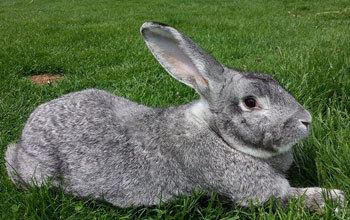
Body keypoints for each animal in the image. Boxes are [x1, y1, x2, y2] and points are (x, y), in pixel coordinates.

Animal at [4, 21, 344, 211]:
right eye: (250, 102)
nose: (306, 120)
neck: (219, 134)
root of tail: (25, 136)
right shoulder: (256, 190)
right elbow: (290, 196)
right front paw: (335, 197)